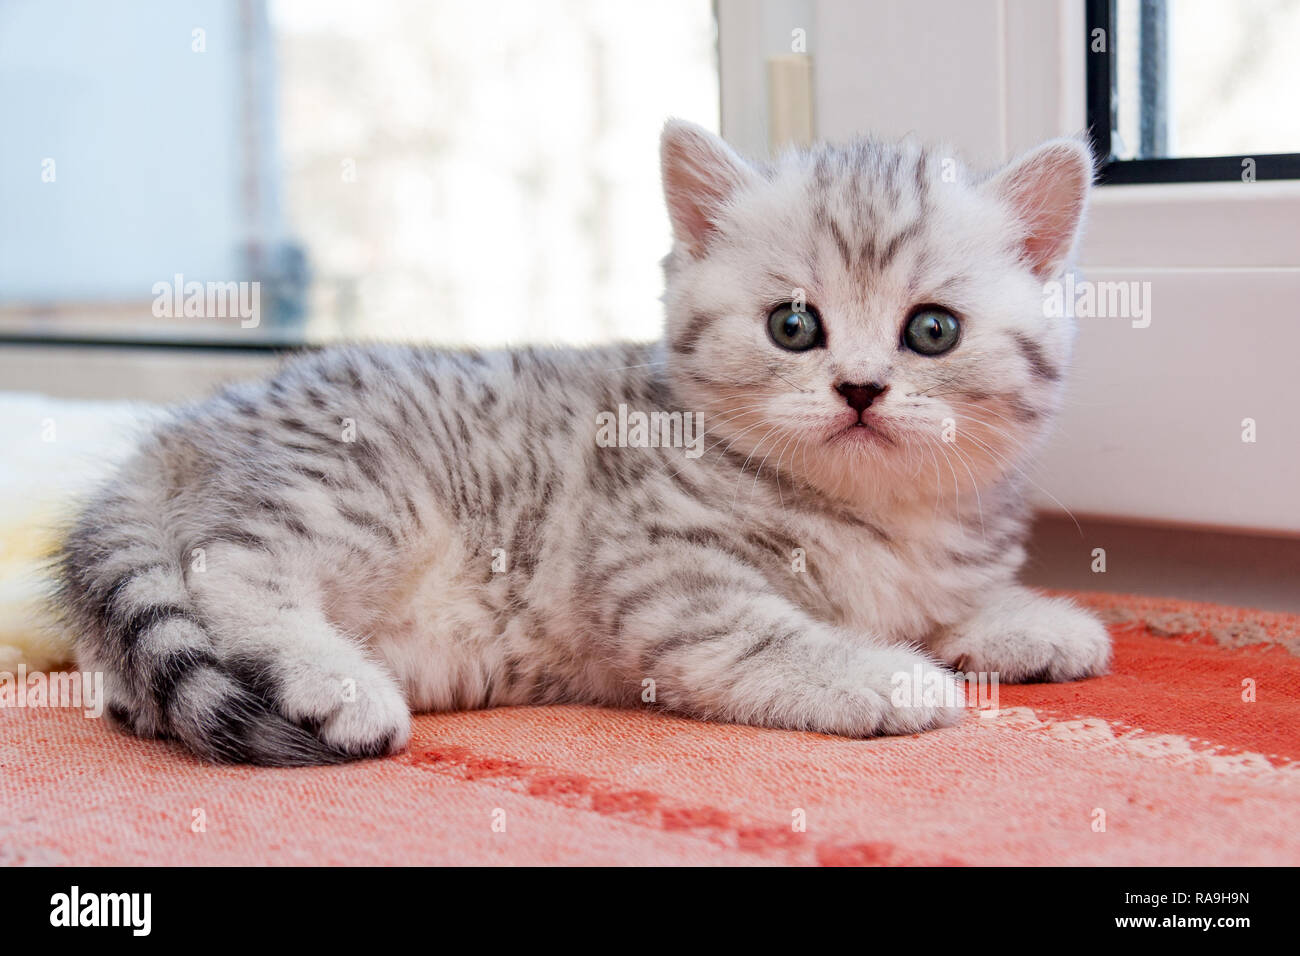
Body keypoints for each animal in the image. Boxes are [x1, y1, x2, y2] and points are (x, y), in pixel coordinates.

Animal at [58, 119, 1107, 764]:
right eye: (793, 326)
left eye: (932, 331)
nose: (859, 388)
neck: (879, 513)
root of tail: (179, 433)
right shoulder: (655, 571)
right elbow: (764, 634)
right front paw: (885, 676)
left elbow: (941, 602)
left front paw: (1027, 620)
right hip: (355, 494)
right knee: (230, 566)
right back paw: (337, 683)